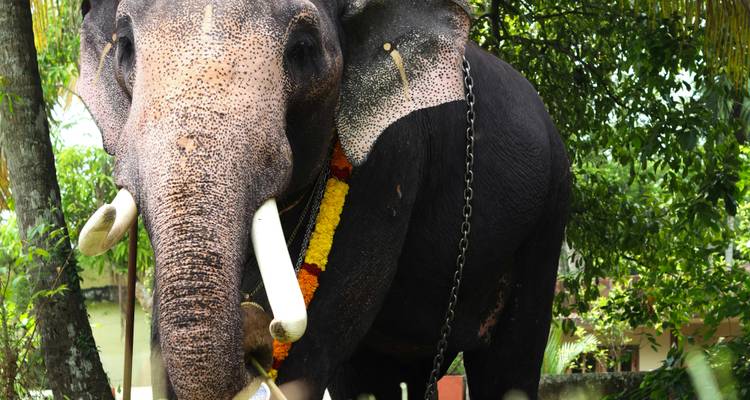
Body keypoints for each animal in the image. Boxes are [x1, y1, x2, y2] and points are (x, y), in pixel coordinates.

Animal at [76, 0, 571, 399]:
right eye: (124, 46)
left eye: (303, 48)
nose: (256, 328)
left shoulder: (392, 156)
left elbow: (319, 335)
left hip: (548, 217)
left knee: (510, 364)